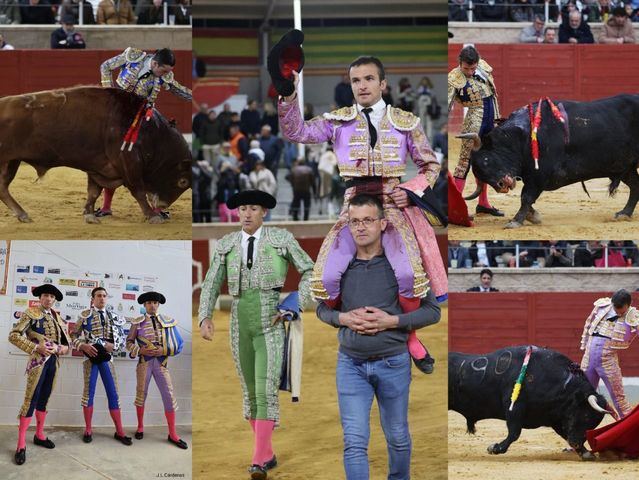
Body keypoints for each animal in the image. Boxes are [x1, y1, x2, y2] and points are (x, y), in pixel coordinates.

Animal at [0, 86, 191, 223]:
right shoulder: (129, 164)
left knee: (2, 187)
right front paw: (153, 216)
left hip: (11, 161)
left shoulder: (98, 167)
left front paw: (89, 215)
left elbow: (94, 191)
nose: (163, 205)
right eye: (183, 181)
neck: (151, 134)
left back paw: (22, 215)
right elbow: (138, 191)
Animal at [448, 344, 612, 458]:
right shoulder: (514, 408)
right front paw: (495, 448)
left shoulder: (556, 418)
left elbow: (564, 433)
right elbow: (514, 433)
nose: (576, 442)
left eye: (593, 423)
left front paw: (585, 453)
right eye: (585, 415)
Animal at [462, 95, 639, 229]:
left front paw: (516, 221)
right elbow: (526, 198)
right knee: (635, 186)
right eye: (480, 174)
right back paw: (624, 213)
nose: (502, 185)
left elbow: (525, 197)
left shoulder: (539, 176)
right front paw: (533, 216)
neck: (521, 137)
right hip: (624, 167)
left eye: (486, 160)